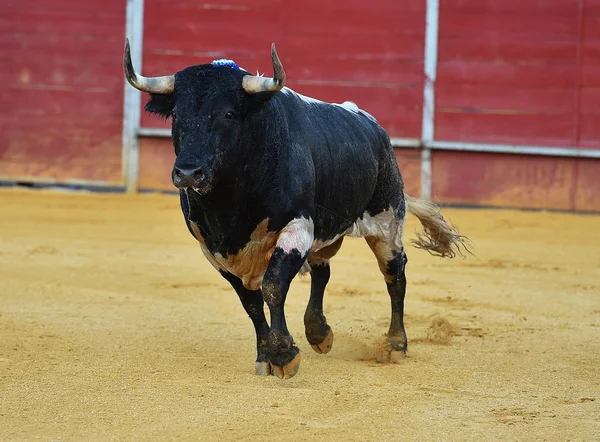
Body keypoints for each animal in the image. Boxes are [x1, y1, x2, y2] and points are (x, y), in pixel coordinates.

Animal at [123, 41, 468, 378]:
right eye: (176, 114)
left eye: (229, 114)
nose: (188, 172)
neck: (229, 203)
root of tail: (373, 126)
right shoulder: (213, 248)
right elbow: (250, 301)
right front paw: (266, 355)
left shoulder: (297, 226)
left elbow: (273, 286)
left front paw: (283, 355)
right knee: (323, 270)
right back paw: (318, 332)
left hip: (388, 220)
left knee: (394, 274)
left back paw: (395, 345)